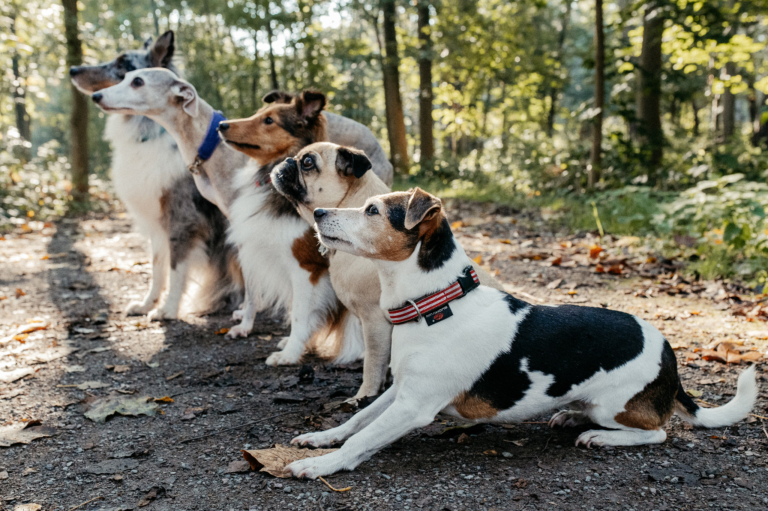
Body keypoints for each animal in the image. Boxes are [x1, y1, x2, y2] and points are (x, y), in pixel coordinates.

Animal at [71, 31, 243, 320]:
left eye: (122, 65)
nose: (73, 69)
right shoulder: (156, 221)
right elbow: (157, 267)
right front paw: (147, 304)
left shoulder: (182, 219)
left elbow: (176, 269)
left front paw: (169, 308)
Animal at [284, 189, 760, 480]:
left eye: (373, 211)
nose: (319, 213)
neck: (437, 304)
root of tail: (670, 360)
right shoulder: (399, 392)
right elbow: (356, 421)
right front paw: (321, 440)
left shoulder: (413, 406)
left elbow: (363, 439)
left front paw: (321, 465)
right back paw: (571, 415)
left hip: (615, 406)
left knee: (657, 432)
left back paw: (601, 436)